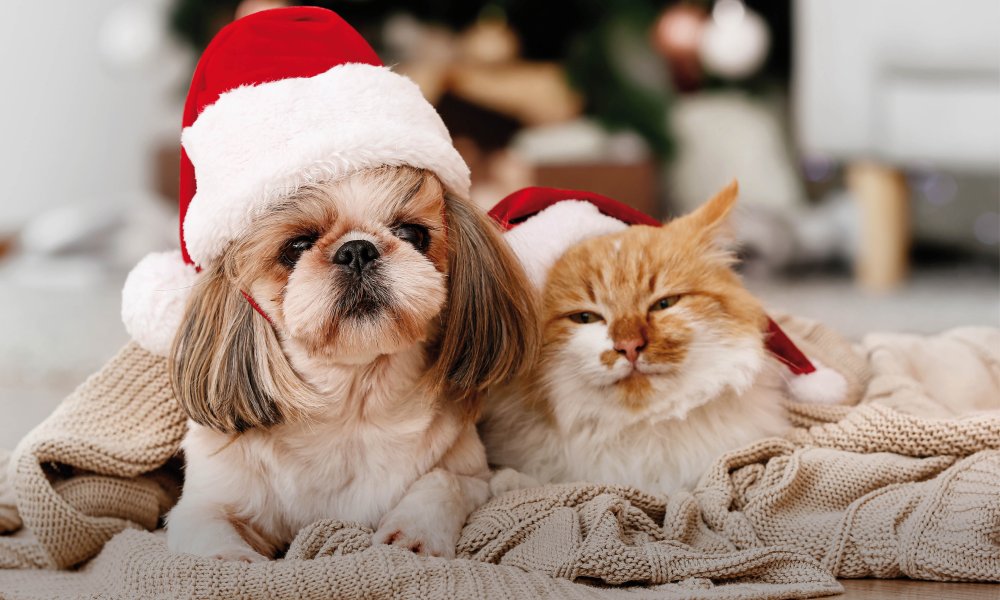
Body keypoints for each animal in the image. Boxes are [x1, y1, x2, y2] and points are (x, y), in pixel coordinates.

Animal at [164, 166, 540, 560]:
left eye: (412, 234)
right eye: (296, 247)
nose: (357, 249)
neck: (352, 405)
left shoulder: (472, 475)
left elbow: (444, 481)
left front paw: (414, 533)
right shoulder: (208, 501)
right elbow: (210, 532)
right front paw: (233, 559)